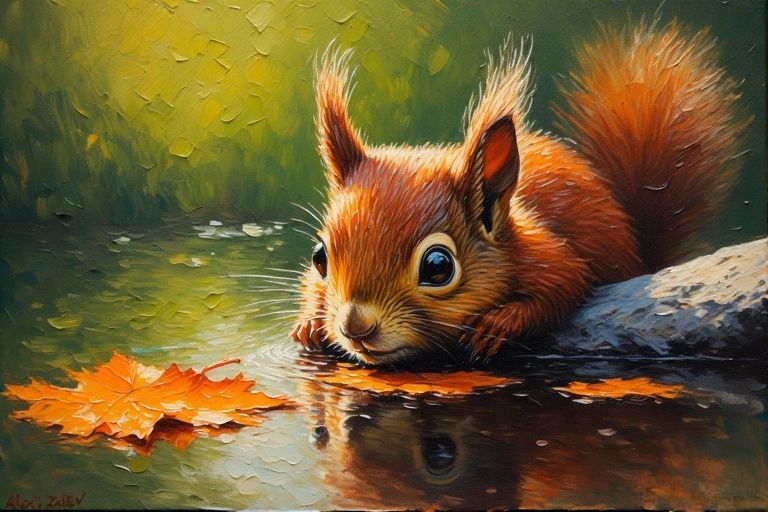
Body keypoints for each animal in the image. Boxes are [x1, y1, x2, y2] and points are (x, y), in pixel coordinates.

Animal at [290, 20, 750, 365]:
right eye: (319, 258)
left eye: (438, 267)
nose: (355, 326)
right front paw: (309, 325)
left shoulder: (548, 254)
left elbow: (565, 283)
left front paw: (500, 322)